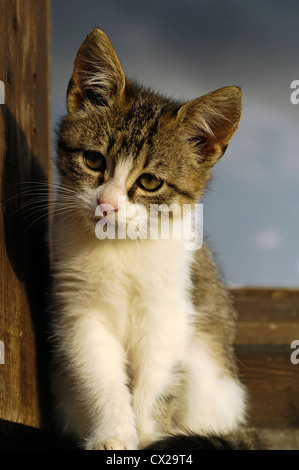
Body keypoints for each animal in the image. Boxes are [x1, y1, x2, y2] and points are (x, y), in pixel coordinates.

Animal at [51, 27, 255, 450]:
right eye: (93, 160)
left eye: (149, 182)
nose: (108, 205)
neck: (120, 250)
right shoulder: (82, 314)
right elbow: (100, 376)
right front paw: (113, 435)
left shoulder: (170, 312)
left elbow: (158, 382)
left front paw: (149, 437)